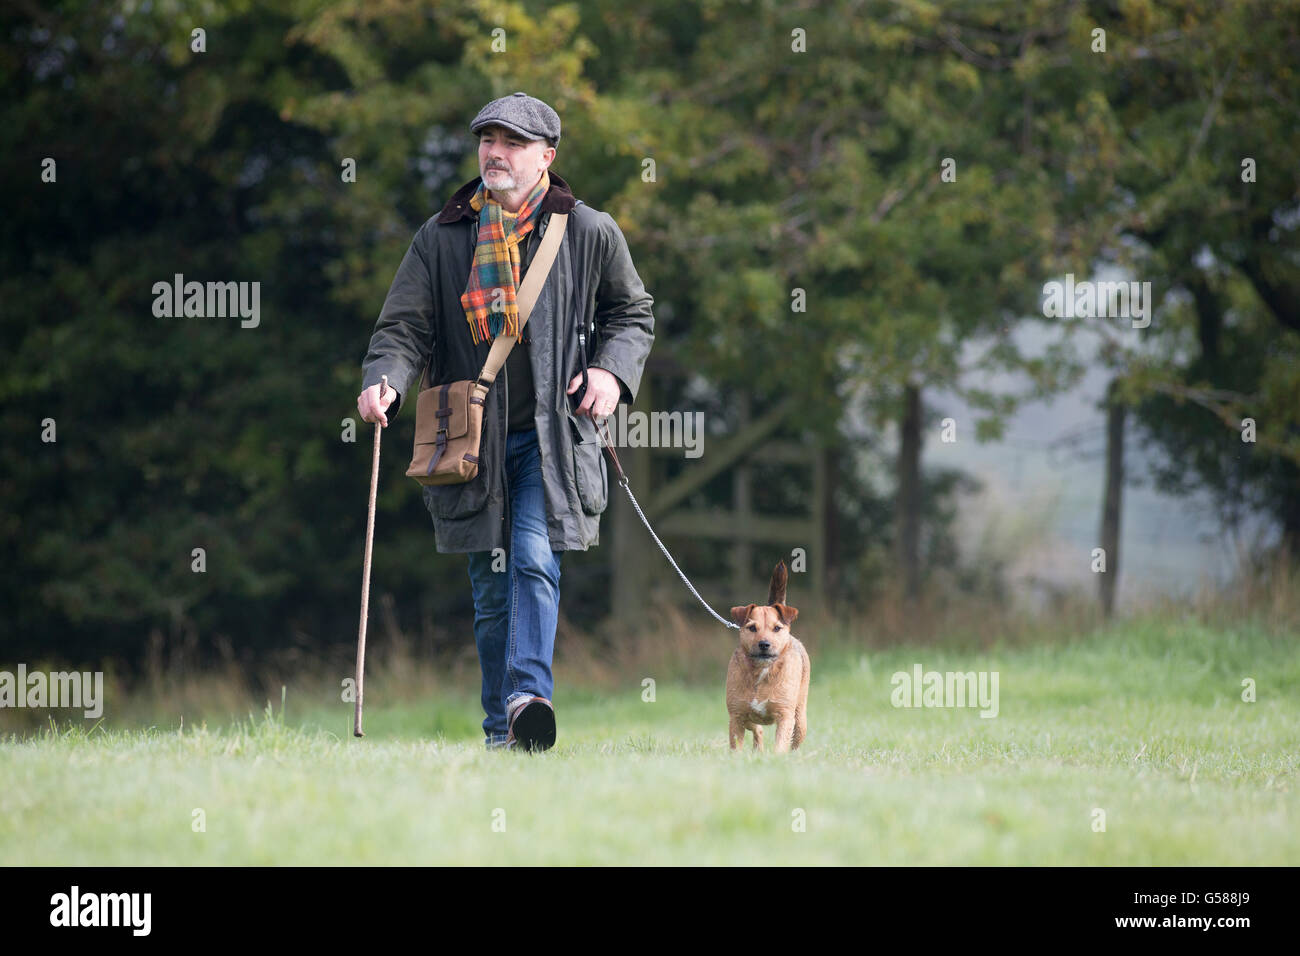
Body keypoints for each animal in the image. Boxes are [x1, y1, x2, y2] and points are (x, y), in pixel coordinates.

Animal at [728, 561, 806, 754]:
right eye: (752, 628)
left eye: (777, 628)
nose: (764, 644)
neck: (762, 671)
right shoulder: (736, 716)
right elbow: (736, 745)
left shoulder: (785, 715)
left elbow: (781, 744)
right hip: (748, 717)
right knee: (758, 729)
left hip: (800, 719)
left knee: (795, 741)